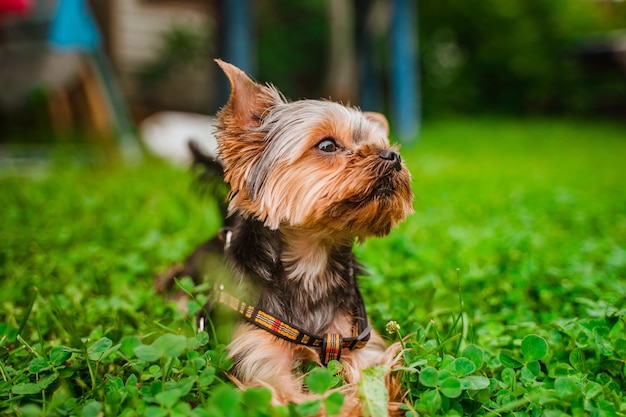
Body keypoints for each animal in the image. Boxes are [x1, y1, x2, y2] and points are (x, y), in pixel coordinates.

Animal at [156, 59, 412, 412]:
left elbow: (373, 388)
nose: (393, 156)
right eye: (327, 145)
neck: (312, 263)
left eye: (384, 145)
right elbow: (306, 402)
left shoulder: (362, 348)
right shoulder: (262, 363)